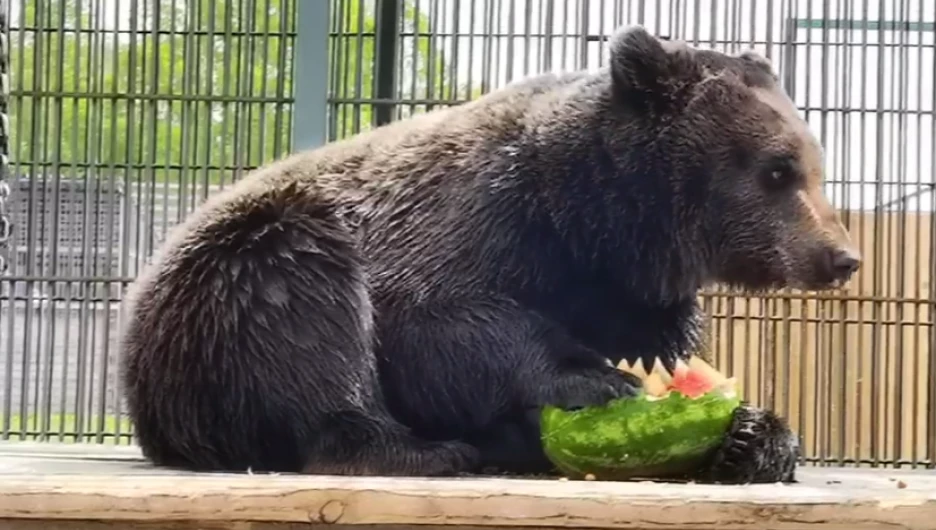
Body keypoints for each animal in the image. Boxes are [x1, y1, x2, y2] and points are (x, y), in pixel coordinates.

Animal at [120, 23, 860, 478]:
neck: (596, 225)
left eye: (817, 168)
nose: (840, 257)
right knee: (303, 318)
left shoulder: (628, 295)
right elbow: (437, 323)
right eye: (777, 170)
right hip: (235, 278)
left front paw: (751, 436)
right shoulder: (476, 221)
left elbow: (672, 360)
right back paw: (420, 449)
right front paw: (597, 378)